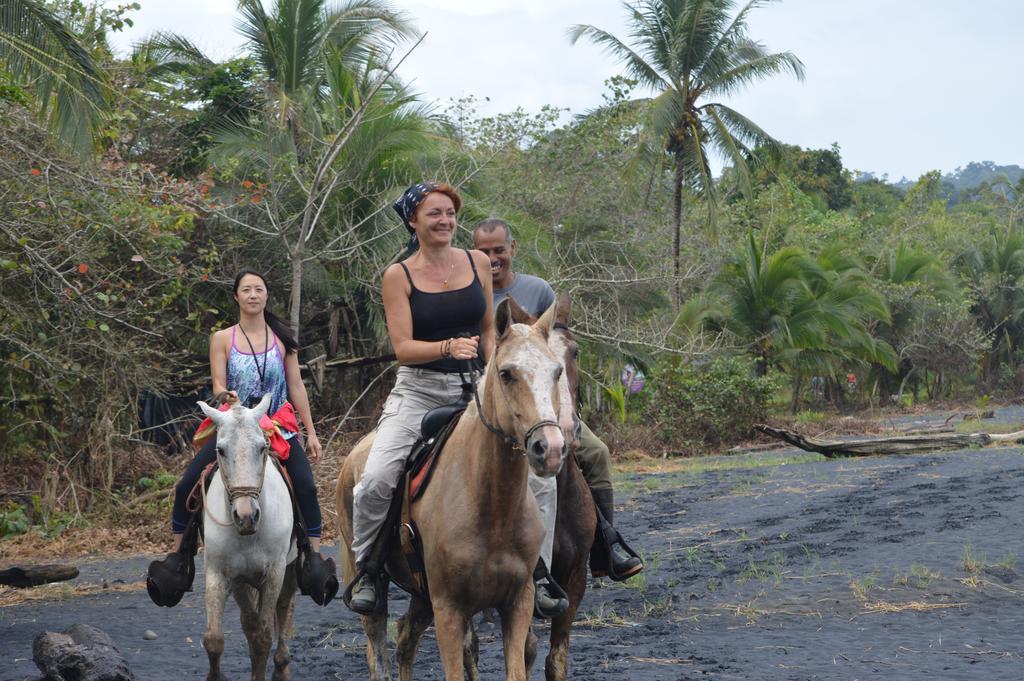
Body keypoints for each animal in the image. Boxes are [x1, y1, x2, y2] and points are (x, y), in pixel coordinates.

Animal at [195, 395, 299, 679]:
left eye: (263, 447)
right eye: (220, 449)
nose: (246, 516)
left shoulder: (275, 573)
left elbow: (262, 637)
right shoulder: (223, 574)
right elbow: (216, 639)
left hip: (290, 568)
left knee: (283, 609)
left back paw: (282, 665)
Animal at [335, 301, 569, 679]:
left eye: (557, 371)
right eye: (507, 373)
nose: (550, 449)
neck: (492, 507)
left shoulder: (518, 603)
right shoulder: (449, 608)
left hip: (422, 595)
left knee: (405, 640)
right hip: (377, 586)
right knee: (379, 652)